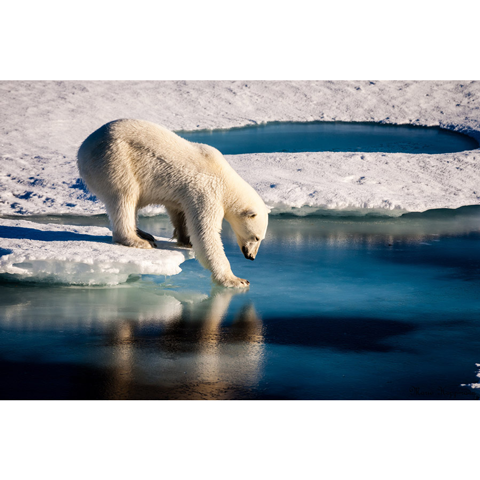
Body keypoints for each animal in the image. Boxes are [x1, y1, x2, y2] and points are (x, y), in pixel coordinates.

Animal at [77, 118, 268, 286]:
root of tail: (82, 149)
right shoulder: (207, 192)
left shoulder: (185, 193)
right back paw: (138, 240)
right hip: (115, 161)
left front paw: (185, 239)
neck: (225, 179)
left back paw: (144, 233)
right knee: (124, 197)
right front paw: (236, 279)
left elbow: (179, 212)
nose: (251, 256)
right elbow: (205, 233)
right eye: (256, 237)